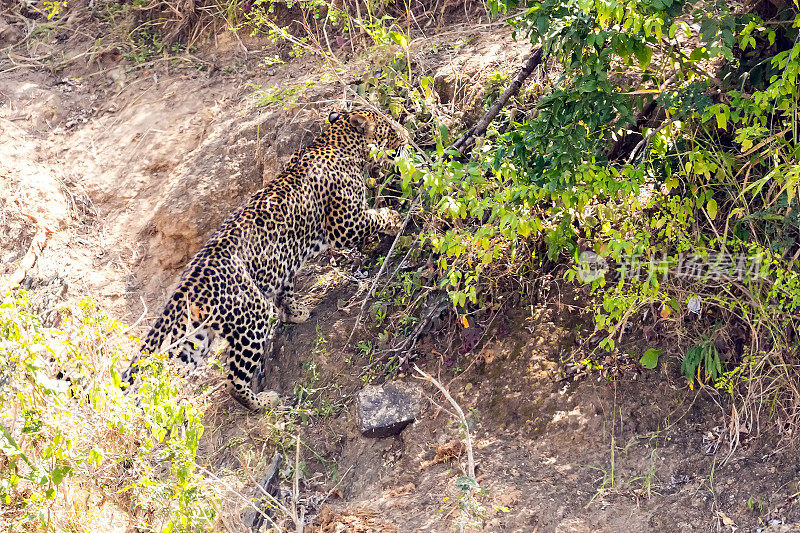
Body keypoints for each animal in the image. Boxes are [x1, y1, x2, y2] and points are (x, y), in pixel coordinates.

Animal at [125, 107, 406, 408]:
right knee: (233, 380)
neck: (336, 141)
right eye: (389, 128)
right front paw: (395, 220)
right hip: (253, 318)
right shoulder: (346, 224)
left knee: (174, 370)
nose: (405, 135)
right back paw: (263, 401)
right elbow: (376, 217)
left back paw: (173, 410)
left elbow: (286, 288)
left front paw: (295, 313)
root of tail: (190, 279)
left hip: (198, 334)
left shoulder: (283, 261)